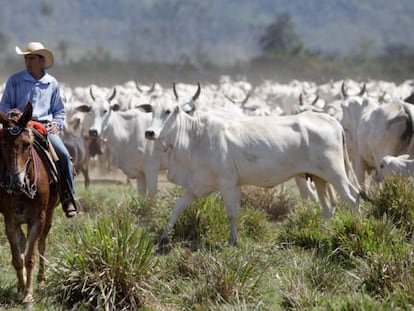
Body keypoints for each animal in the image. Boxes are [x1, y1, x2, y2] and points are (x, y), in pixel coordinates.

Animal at [0, 103, 59, 304]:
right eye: (3, 144)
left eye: (27, 144)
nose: (16, 183)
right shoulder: (10, 221)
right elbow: (17, 258)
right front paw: (22, 286)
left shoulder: (38, 219)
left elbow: (30, 257)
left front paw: (28, 294)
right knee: (23, 243)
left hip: (49, 215)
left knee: (42, 244)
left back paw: (40, 280)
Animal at [142, 84, 366, 247]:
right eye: (151, 111)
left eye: (168, 111)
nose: (149, 132)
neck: (194, 137)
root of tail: (332, 121)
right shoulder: (199, 186)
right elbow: (177, 207)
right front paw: (163, 238)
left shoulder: (228, 183)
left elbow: (231, 213)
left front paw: (233, 241)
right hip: (320, 178)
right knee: (328, 208)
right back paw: (323, 234)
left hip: (335, 174)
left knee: (353, 198)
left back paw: (357, 229)